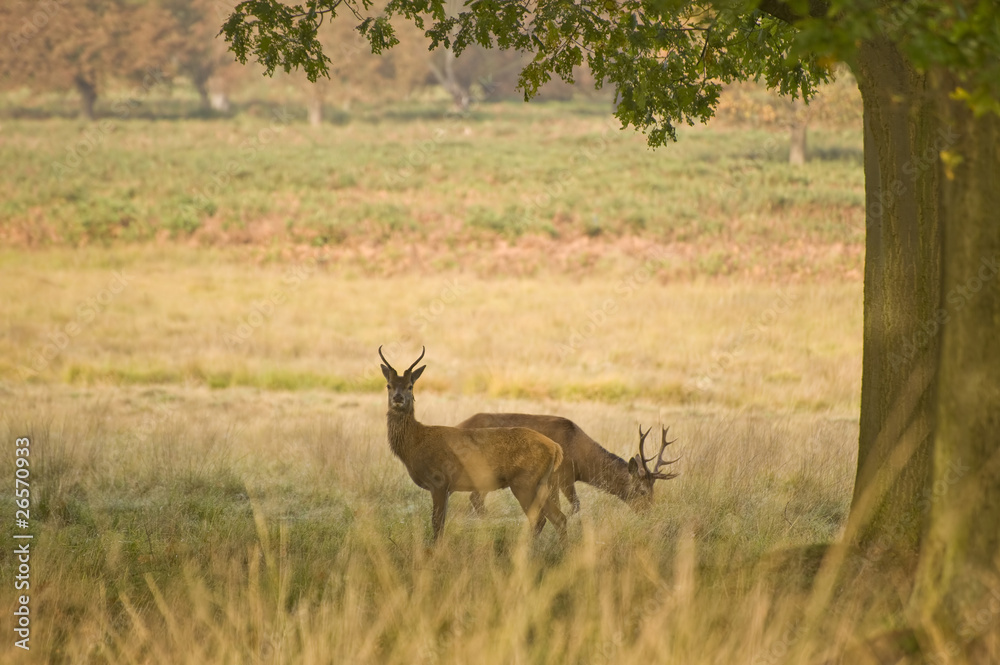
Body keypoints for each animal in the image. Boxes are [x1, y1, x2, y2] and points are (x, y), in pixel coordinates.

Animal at [379, 347, 567, 542]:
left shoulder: (439, 481)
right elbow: (441, 524)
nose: (398, 398)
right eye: (388, 385)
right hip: (540, 483)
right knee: (559, 518)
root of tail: (556, 448)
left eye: (410, 386)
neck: (414, 443)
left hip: (524, 481)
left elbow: (437, 524)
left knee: (539, 519)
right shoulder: (446, 487)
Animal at [456, 413, 679, 515]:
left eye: (654, 491)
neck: (582, 460)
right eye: (642, 491)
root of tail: (459, 424)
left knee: (475, 498)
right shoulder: (560, 477)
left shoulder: (564, 479)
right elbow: (573, 506)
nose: (649, 512)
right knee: (475, 498)